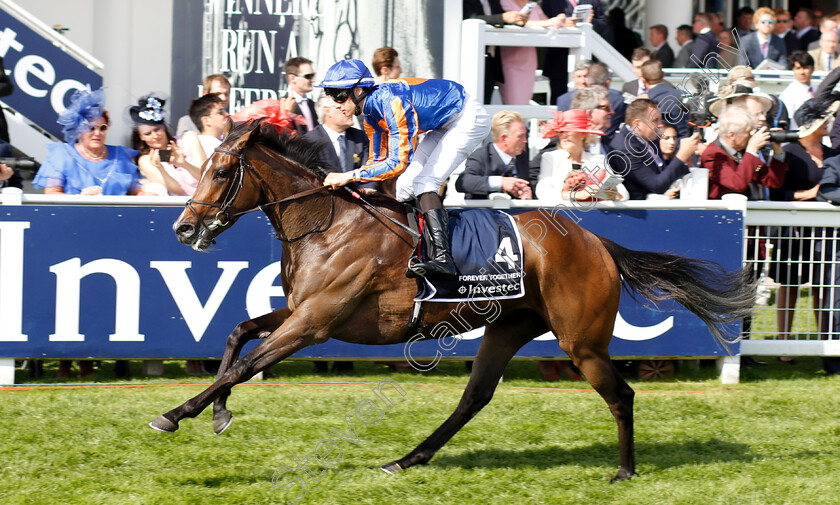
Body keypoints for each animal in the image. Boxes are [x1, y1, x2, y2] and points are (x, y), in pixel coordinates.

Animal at [151, 119, 756, 480]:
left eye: (221, 171)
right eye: (199, 167)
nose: (183, 228)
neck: (326, 223)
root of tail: (595, 242)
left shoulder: (315, 322)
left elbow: (244, 362)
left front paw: (176, 414)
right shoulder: (303, 311)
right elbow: (238, 335)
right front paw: (218, 414)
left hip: (581, 341)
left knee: (621, 395)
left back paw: (625, 471)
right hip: (508, 326)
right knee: (474, 397)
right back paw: (406, 458)